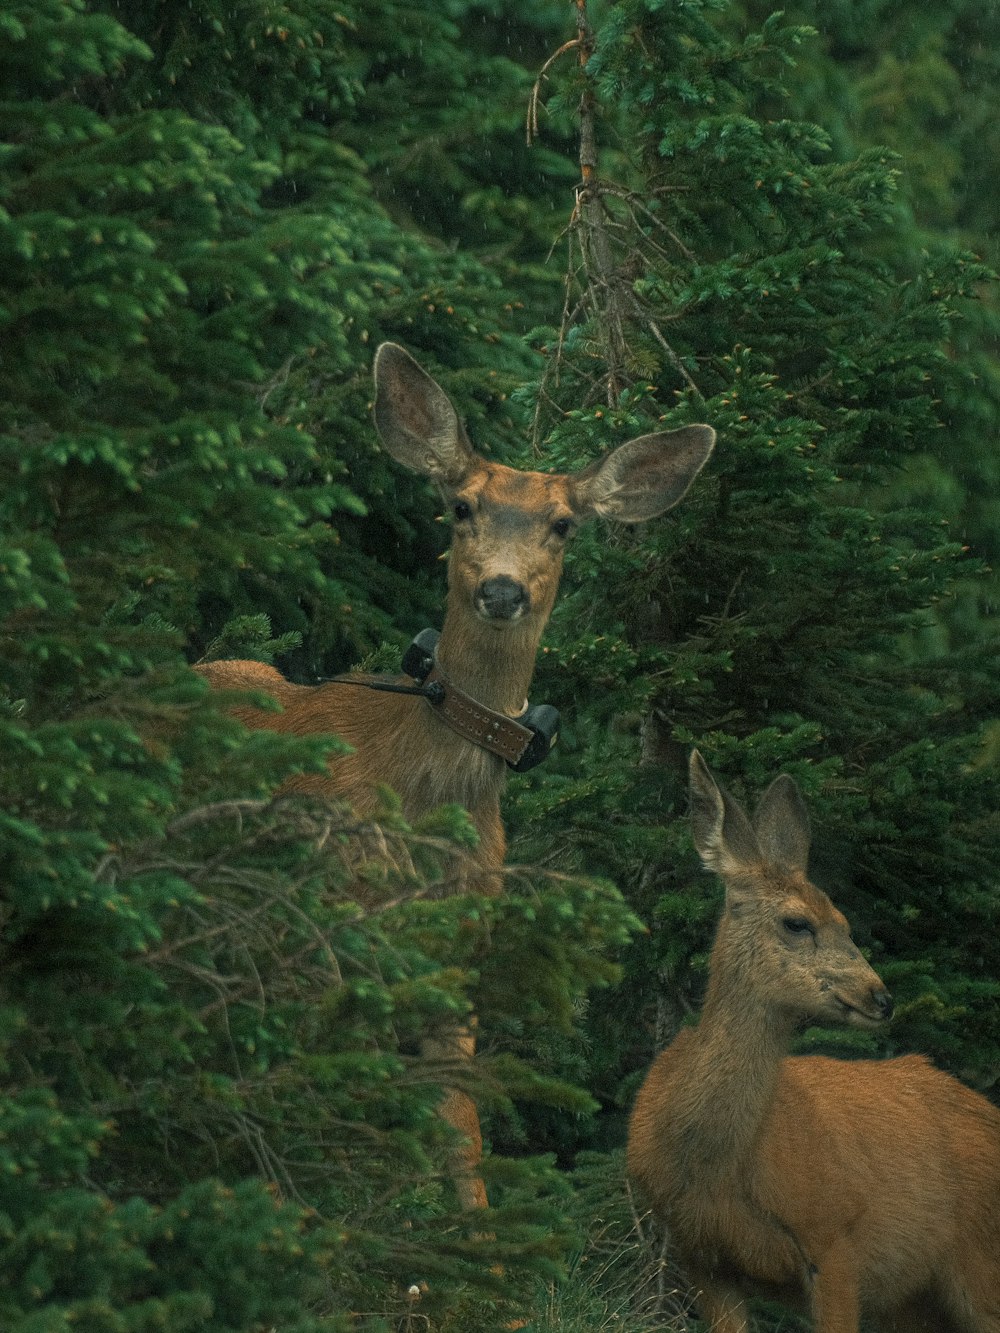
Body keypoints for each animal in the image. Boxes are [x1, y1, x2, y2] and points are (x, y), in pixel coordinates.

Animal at [201, 343, 720, 1210]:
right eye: (462, 507)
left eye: (563, 524)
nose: (501, 589)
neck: (423, 790)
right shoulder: (318, 923)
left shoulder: (459, 954)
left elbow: (459, 1128)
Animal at [629, 751, 1000, 1333]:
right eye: (797, 922)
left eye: (845, 922)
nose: (881, 997)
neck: (713, 1169)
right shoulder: (703, 1258)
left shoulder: (836, 1239)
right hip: (917, 1304)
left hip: (980, 1263)